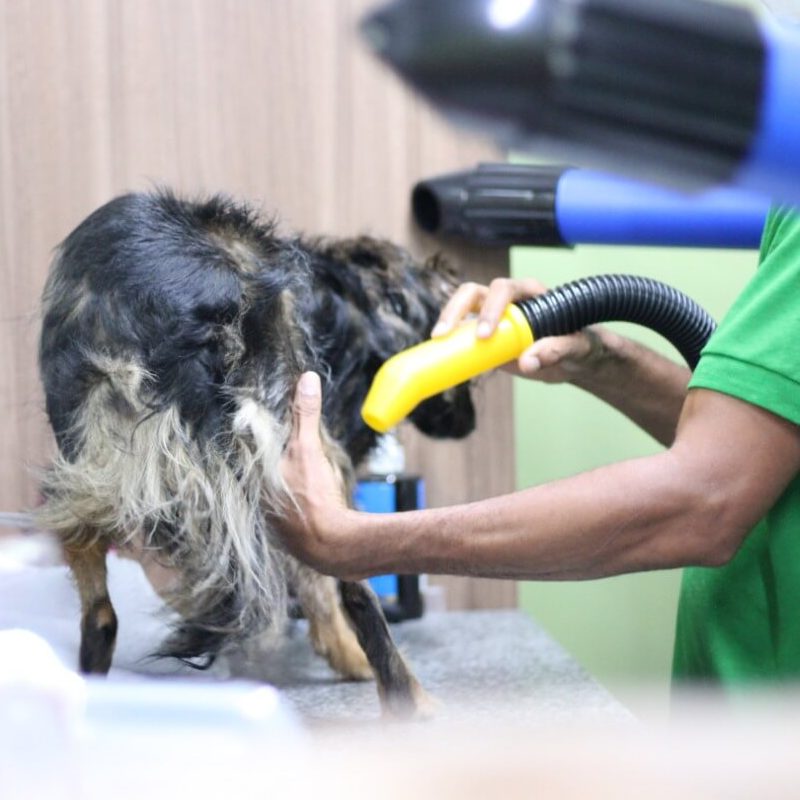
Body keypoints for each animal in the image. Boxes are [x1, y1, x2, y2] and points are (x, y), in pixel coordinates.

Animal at [36, 189, 476, 720]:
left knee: (97, 600)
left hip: (83, 456)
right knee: (354, 581)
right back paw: (409, 699)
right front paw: (344, 653)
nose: (469, 424)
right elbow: (321, 584)